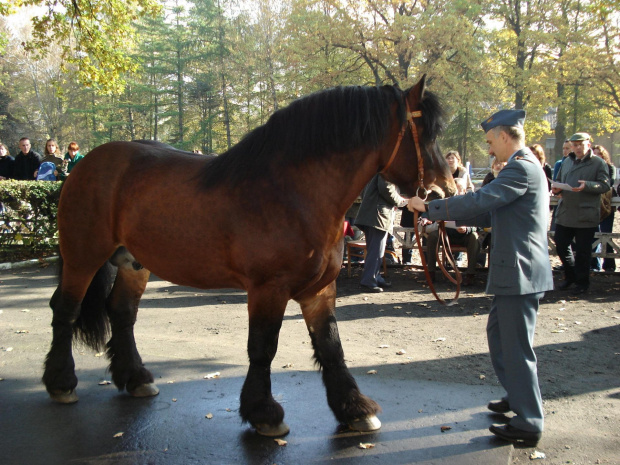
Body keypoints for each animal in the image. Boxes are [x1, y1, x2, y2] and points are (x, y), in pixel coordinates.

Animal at [41, 75, 452, 436]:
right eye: (426, 134)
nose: (442, 191)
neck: (292, 193)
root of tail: (87, 164)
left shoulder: (320, 290)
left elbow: (331, 346)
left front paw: (354, 409)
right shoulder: (268, 289)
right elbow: (263, 348)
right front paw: (264, 414)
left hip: (133, 264)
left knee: (122, 312)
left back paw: (136, 377)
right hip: (82, 257)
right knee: (65, 310)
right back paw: (61, 382)